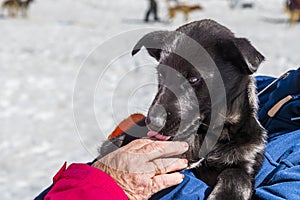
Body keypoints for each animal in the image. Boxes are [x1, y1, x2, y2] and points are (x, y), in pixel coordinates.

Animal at [99, 19, 266, 200]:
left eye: (193, 79)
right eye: (161, 75)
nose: (153, 123)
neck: (204, 135)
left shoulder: (245, 159)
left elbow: (236, 177)